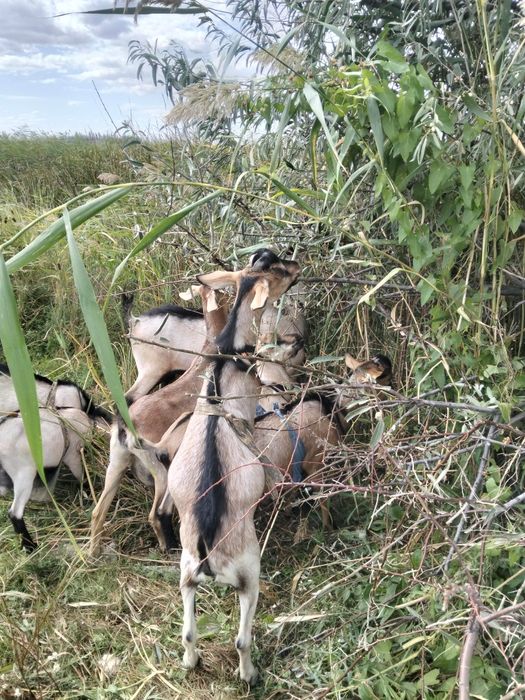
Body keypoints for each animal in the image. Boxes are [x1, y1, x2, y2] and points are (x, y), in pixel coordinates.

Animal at [165, 249, 300, 685]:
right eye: (276, 272)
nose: (298, 267)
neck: (229, 353)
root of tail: (208, 551)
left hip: (185, 572)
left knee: (188, 632)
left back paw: (190, 662)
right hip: (248, 573)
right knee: (242, 638)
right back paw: (249, 674)